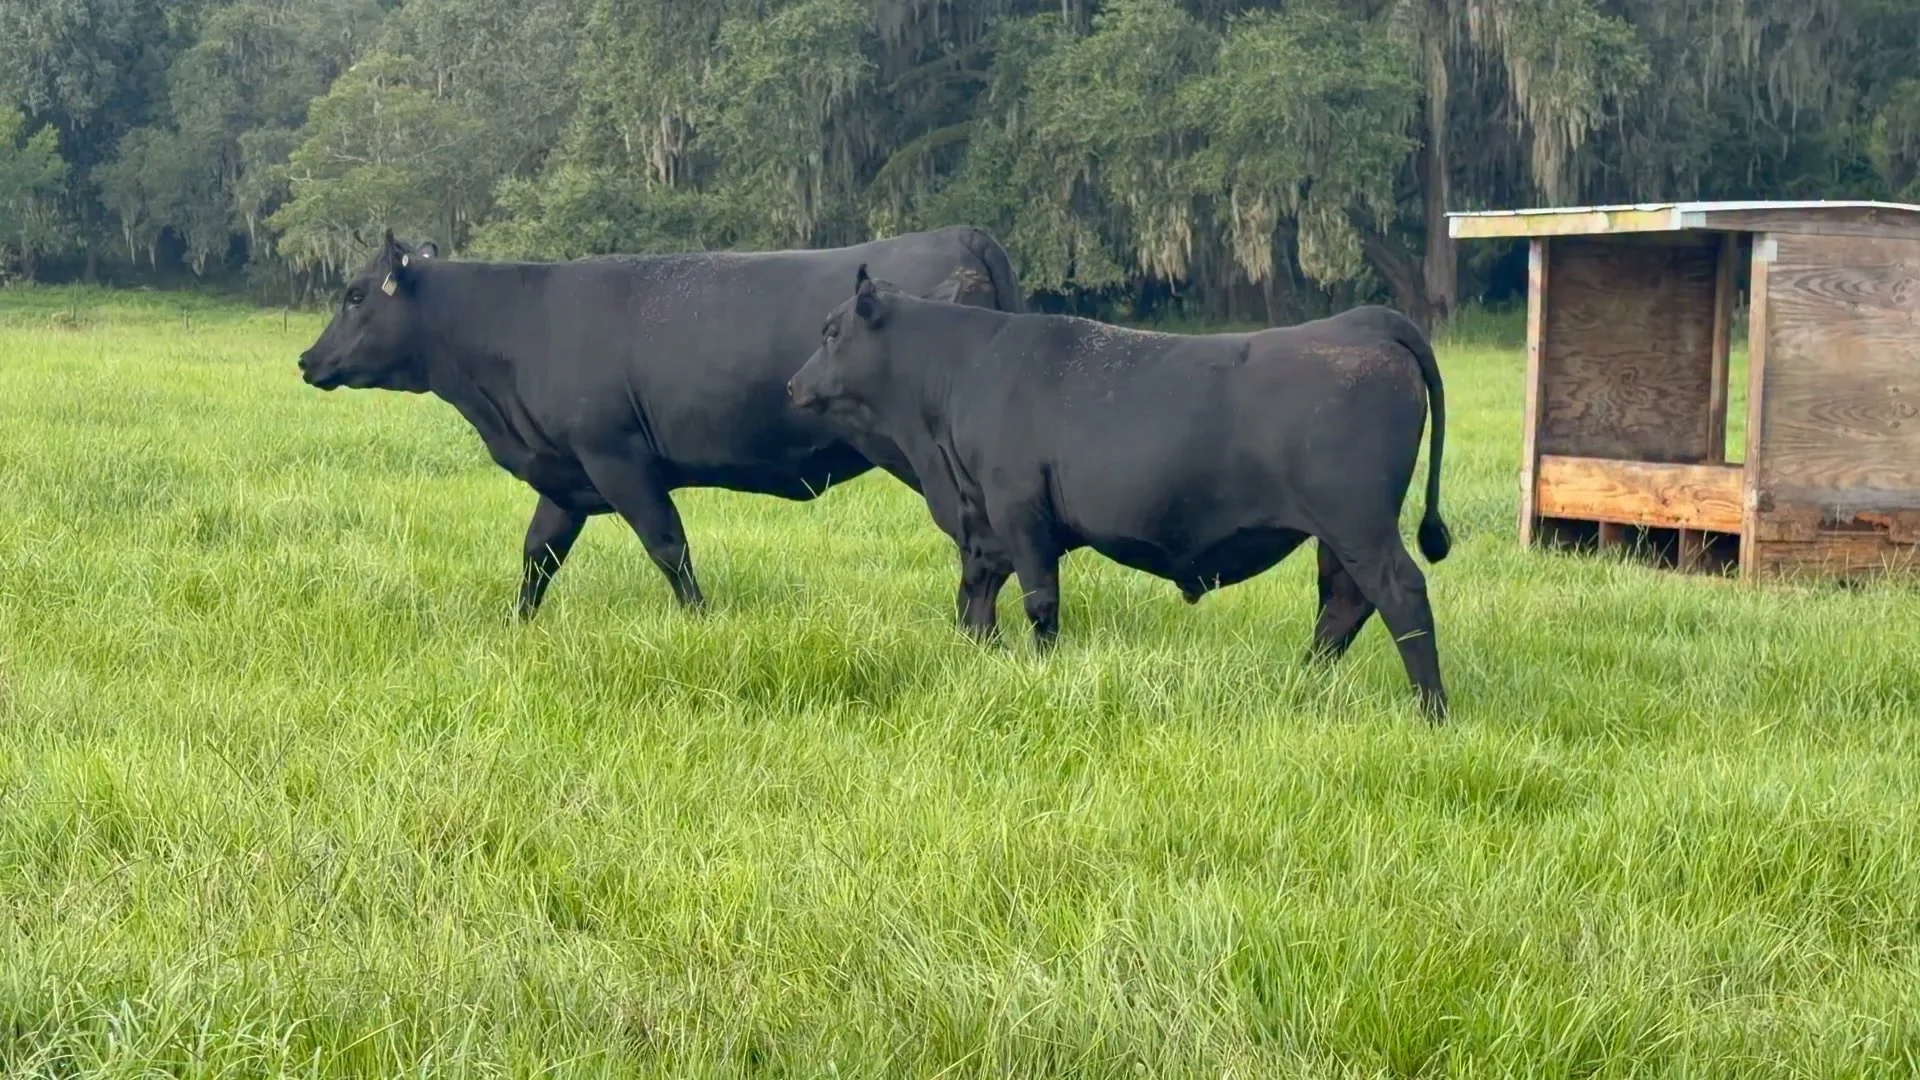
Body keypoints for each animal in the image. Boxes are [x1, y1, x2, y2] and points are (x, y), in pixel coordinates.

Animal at [296, 227, 1023, 618]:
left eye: (354, 295)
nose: (307, 359)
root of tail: (963, 235)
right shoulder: (567, 474)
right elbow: (538, 553)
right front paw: (517, 625)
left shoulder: (616, 457)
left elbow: (668, 544)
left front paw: (701, 620)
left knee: (983, 543)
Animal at [786, 266, 1454, 720]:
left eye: (832, 332)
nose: (793, 385)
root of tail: (1365, 321)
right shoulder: (986, 525)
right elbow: (976, 598)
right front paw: (982, 657)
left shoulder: (1018, 510)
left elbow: (1039, 602)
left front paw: (1042, 670)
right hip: (1337, 535)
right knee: (1343, 603)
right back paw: (1304, 684)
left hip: (1358, 524)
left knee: (1400, 594)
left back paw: (1431, 710)